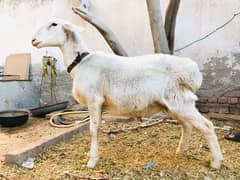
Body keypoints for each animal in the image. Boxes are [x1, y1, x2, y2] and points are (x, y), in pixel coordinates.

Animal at [32, 19, 223, 169]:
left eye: (54, 24)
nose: (33, 40)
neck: (80, 62)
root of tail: (191, 72)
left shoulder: (94, 100)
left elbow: (92, 129)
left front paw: (92, 161)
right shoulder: (99, 104)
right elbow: (97, 129)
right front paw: (91, 154)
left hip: (180, 101)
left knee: (207, 126)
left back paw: (216, 162)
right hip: (172, 104)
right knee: (187, 126)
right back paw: (181, 150)